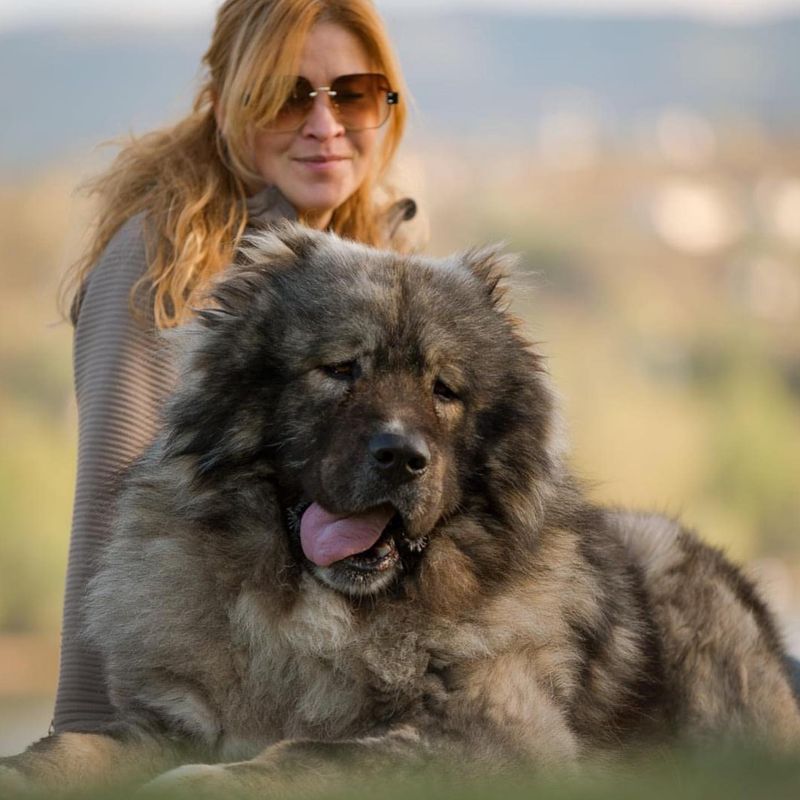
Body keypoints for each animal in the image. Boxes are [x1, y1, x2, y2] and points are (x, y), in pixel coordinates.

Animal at [1, 223, 800, 792]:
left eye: (444, 389)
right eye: (340, 369)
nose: (402, 457)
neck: (318, 620)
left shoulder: (493, 735)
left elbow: (312, 756)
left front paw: (203, 783)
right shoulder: (172, 717)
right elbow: (72, 750)